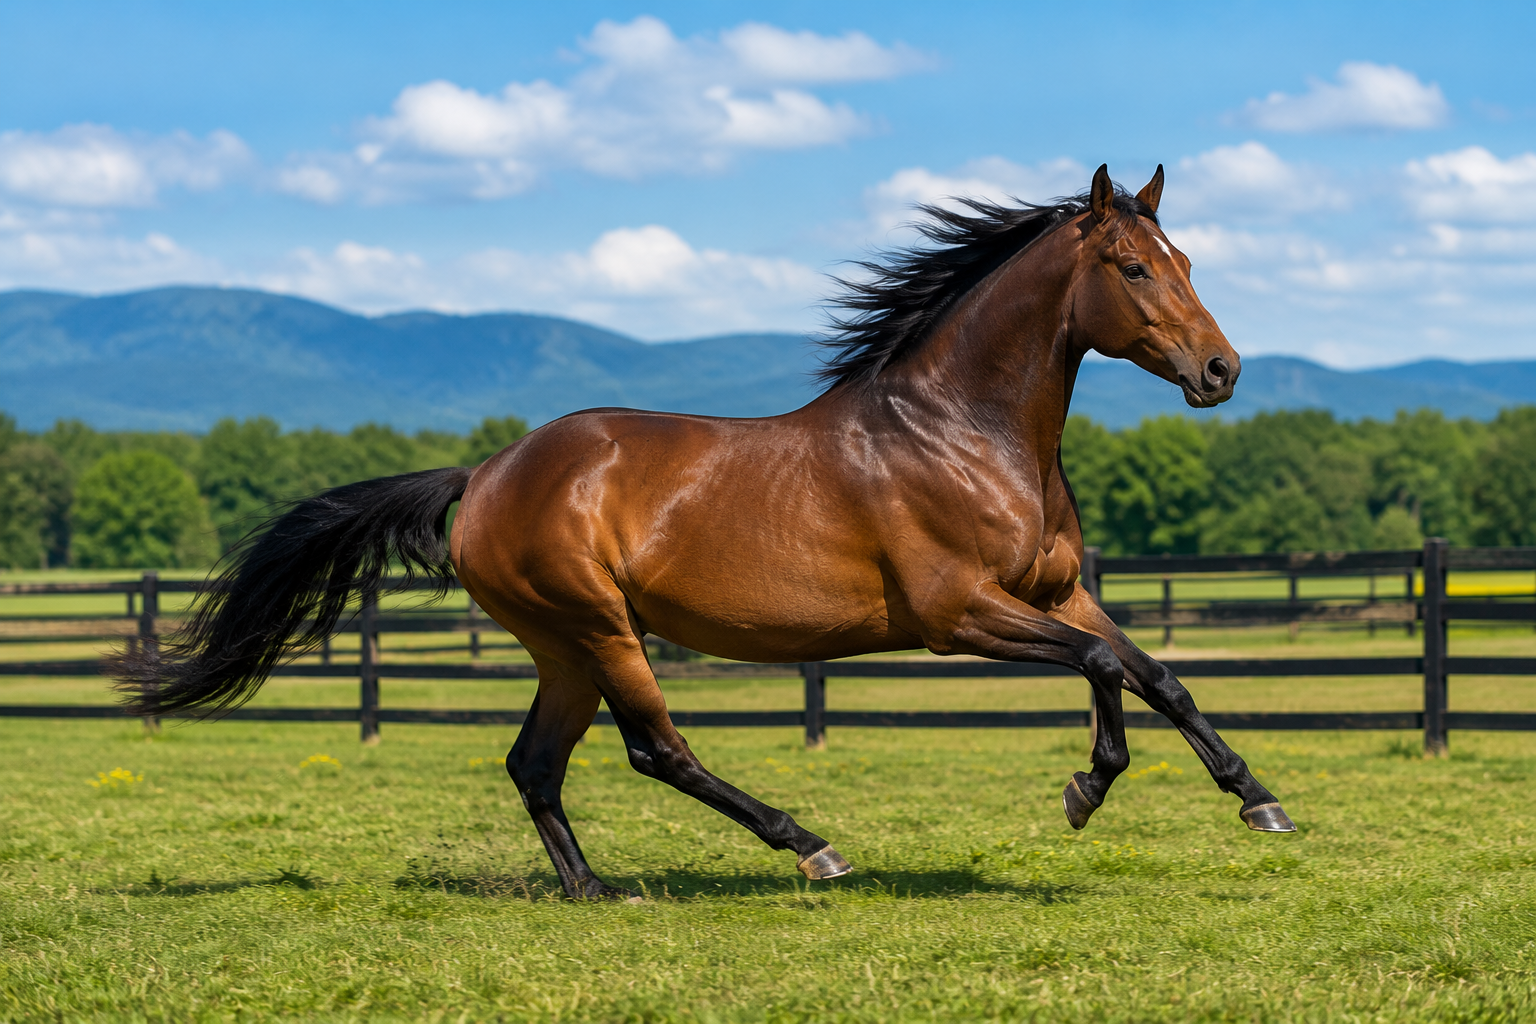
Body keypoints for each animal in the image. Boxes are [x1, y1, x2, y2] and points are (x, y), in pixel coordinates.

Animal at [117, 165, 1295, 900]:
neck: (964, 430)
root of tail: (486, 472)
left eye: (1187, 259)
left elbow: (1149, 670)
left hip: (563, 648)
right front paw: (1093, 791)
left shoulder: (1057, 592)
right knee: (657, 748)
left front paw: (1247, 800)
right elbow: (1107, 666)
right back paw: (810, 848)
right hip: (600, 629)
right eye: (1135, 269)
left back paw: (594, 889)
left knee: (535, 764)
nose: (1222, 370)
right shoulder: (959, 614)